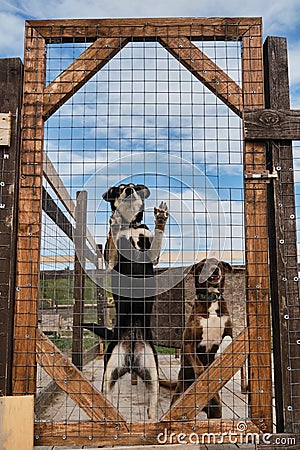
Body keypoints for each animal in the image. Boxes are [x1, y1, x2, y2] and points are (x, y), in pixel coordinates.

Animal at [100, 182, 168, 418]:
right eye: (120, 189)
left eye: (133, 188)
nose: (128, 191)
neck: (130, 225)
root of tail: (131, 358)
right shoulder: (110, 261)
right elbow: (113, 241)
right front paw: (113, 221)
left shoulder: (152, 254)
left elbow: (156, 241)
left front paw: (161, 219)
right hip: (109, 373)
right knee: (107, 400)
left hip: (153, 375)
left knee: (151, 407)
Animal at [171, 258, 232, 420]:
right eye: (202, 266)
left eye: (219, 263)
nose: (214, 269)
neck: (211, 299)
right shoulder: (188, 343)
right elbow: (198, 365)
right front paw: (201, 379)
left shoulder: (229, 330)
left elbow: (227, 339)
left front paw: (219, 353)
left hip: (216, 411)